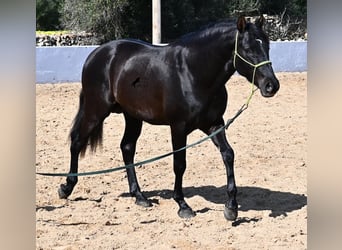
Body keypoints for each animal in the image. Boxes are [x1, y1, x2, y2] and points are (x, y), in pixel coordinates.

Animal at [57, 16, 280, 221]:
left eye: (267, 45)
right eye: (247, 48)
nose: (271, 86)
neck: (193, 72)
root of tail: (96, 54)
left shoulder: (214, 123)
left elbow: (228, 155)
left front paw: (231, 207)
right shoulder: (178, 127)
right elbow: (179, 164)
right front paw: (183, 205)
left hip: (132, 116)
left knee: (127, 148)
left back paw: (139, 196)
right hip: (96, 110)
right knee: (77, 142)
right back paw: (66, 188)